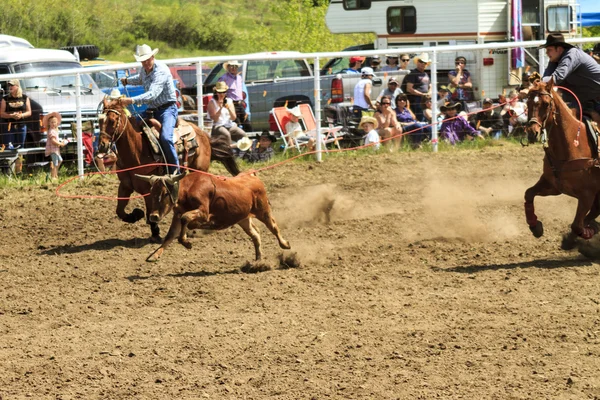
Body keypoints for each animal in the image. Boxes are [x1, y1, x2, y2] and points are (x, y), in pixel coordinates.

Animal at [99, 99, 238, 241]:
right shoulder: (125, 186)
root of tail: (203, 133)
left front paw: (155, 232)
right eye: (99, 121)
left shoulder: (148, 189)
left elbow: (150, 212)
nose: (102, 146)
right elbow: (120, 211)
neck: (136, 150)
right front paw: (136, 214)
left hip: (199, 169)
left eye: (112, 120)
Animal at [136, 172, 290, 262]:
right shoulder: (177, 215)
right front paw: (155, 255)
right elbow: (170, 235)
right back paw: (258, 259)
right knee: (255, 234)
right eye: (151, 192)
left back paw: (284, 244)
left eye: (165, 193)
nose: (153, 216)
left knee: (274, 227)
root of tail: (252, 176)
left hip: (263, 211)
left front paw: (186, 242)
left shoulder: (203, 212)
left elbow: (187, 220)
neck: (188, 189)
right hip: (243, 218)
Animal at [524, 80, 600, 248]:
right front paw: (535, 226)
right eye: (528, 103)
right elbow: (528, 194)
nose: (532, 132)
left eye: (546, 104)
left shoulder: (587, 195)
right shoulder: (553, 185)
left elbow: (577, 225)